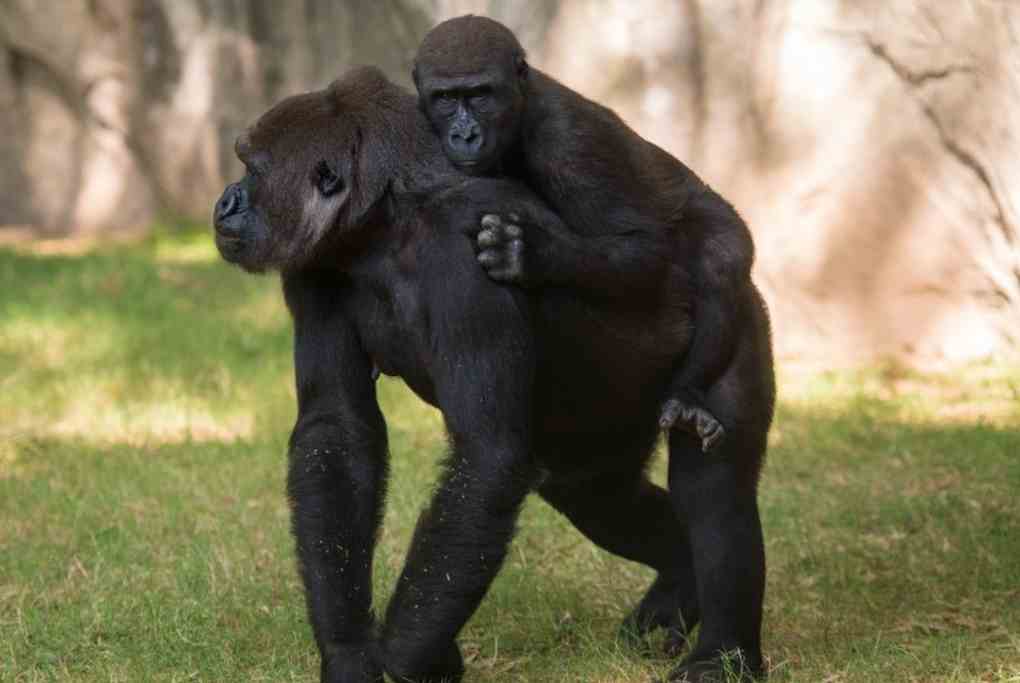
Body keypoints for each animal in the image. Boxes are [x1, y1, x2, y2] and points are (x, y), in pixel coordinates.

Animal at [213, 65, 771, 683]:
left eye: (252, 170)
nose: (228, 199)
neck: (384, 219)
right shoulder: (314, 266)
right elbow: (335, 432)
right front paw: (349, 649)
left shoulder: (464, 250)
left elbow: (485, 456)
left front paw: (407, 657)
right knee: (598, 495)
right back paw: (679, 582)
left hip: (733, 313)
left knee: (712, 491)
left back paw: (723, 653)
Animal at [410, 14, 762, 454]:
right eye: (444, 98)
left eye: (480, 95)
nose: (465, 135)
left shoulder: (568, 141)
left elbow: (642, 248)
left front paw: (531, 254)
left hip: (715, 213)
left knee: (720, 257)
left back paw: (688, 392)